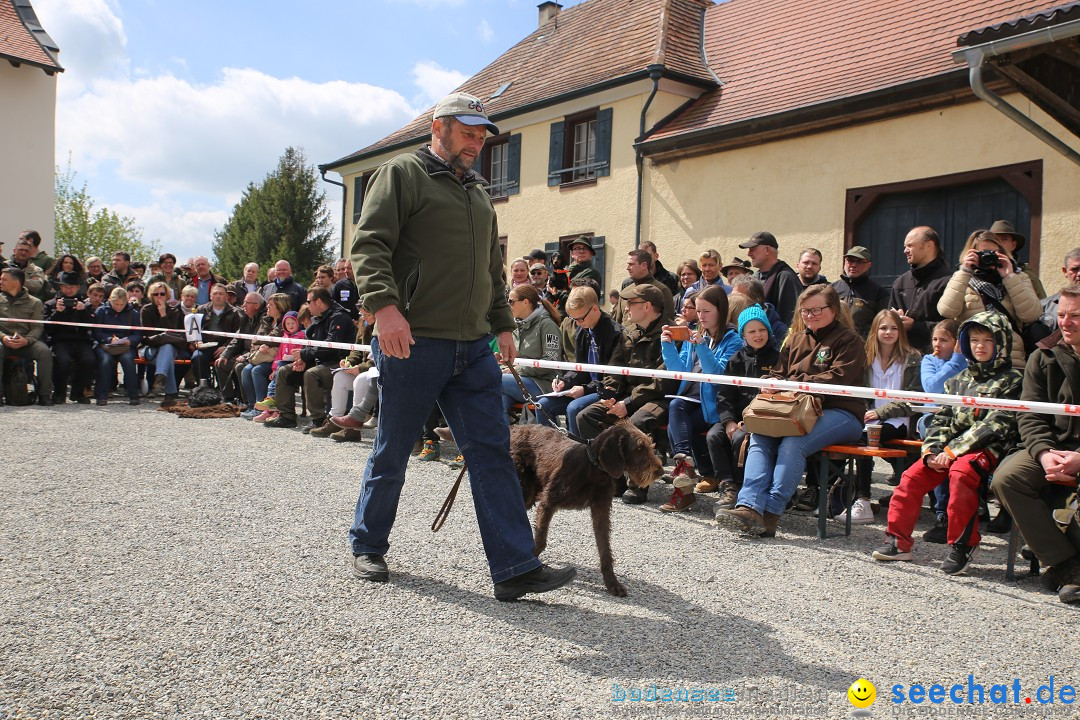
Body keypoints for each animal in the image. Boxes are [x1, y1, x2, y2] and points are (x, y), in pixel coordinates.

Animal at [509, 423, 660, 595]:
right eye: (639, 448)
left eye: (650, 445)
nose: (660, 471)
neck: (593, 469)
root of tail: (515, 427)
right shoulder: (548, 503)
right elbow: (540, 541)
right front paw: (528, 570)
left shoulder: (601, 511)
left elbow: (605, 550)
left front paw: (612, 583)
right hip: (524, 489)